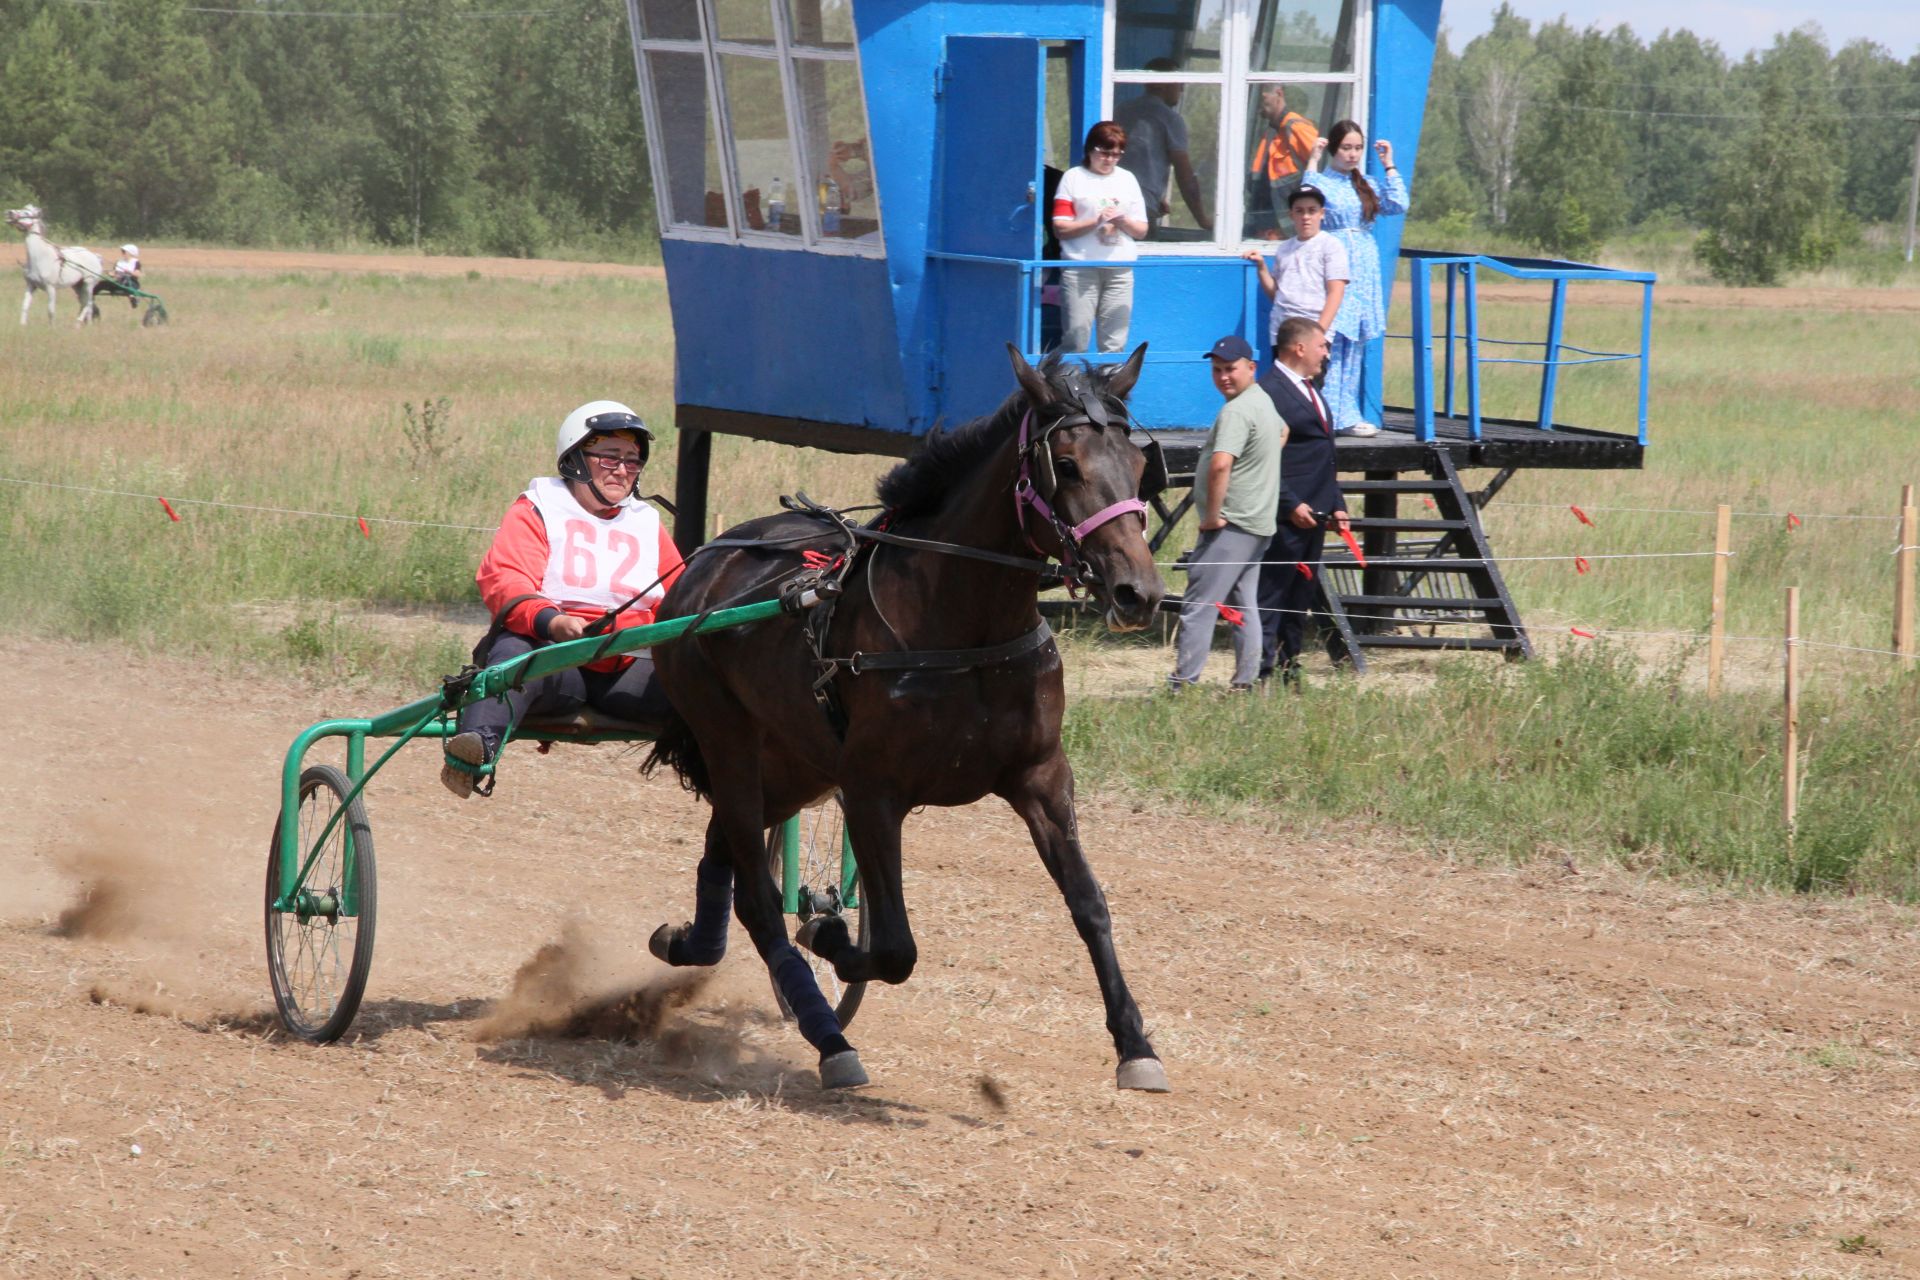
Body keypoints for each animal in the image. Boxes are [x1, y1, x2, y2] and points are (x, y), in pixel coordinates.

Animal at [648, 347, 1167, 1090]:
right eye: (1065, 464)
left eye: (1138, 464)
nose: (1137, 593)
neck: (964, 630)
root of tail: (702, 564)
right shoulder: (871, 791)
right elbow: (894, 946)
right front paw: (829, 929)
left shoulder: (1041, 777)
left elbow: (1090, 903)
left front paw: (1135, 1043)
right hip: (729, 739)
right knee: (758, 892)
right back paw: (829, 1037)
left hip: (795, 762)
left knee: (727, 852)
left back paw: (691, 941)